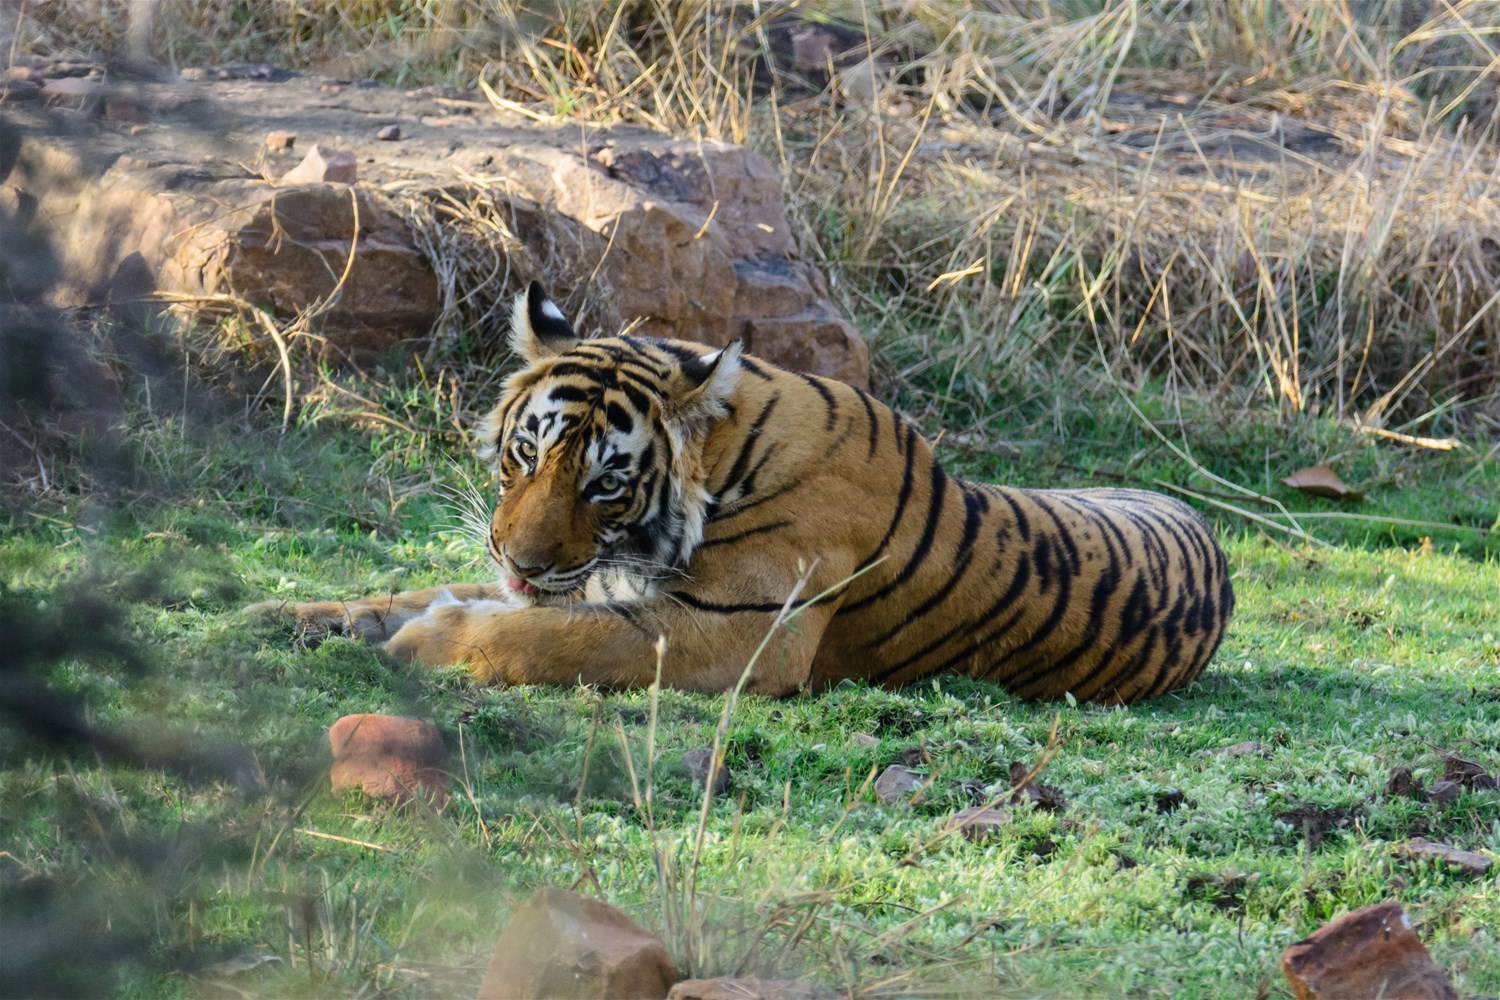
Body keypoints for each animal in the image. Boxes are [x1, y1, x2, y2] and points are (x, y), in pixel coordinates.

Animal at [255, 281, 1230, 704]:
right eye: (524, 455)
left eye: (606, 484)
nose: (520, 562)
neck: (728, 458)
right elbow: (401, 592)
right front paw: (275, 617)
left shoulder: (726, 633)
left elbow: (545, 637)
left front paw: (426, 641)